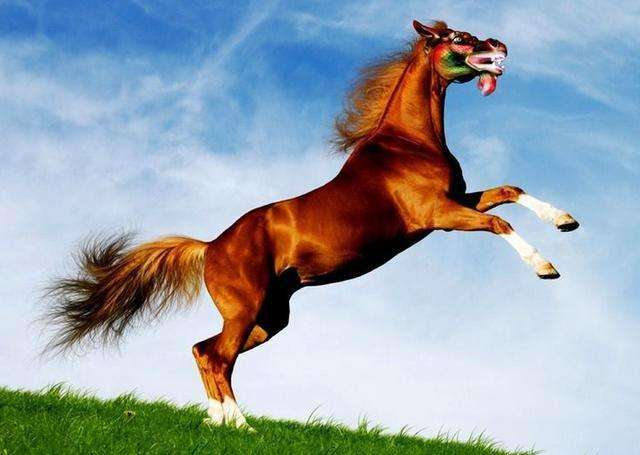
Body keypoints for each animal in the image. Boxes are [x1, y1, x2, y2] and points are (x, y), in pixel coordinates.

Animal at [44, 20, 579, 430]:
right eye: (462, 40)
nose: (502, 46)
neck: (409, 143)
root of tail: (210, 245)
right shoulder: (439, 216)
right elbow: (499, 225)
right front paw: (546, 267)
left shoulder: (458, 200)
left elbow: (509, 191)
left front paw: (566, 221)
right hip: (245, 310)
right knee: (217, 357)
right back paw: (243, 426)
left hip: (269, 319)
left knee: (202, 350)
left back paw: (216, 422)